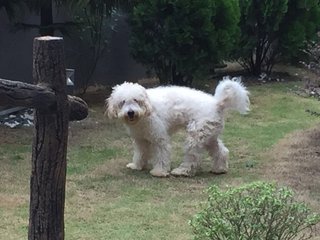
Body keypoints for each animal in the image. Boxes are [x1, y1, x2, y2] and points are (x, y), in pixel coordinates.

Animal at [106, 78, 249, 177]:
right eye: (123, 102)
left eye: (136, 100)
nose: (130, 112)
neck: (145, 112)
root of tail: (216, 103)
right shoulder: (141, 140)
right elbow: (140, 154)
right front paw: (136, 166)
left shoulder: (160, 139)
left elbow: (161, 155)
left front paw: (159, 172)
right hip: (209, 136)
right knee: (221, 151)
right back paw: (219, 169)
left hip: (195, 137)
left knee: (192, 158)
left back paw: (181, 171)